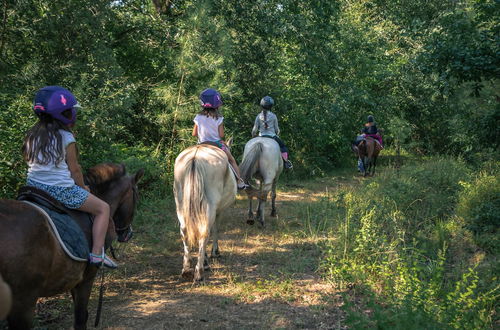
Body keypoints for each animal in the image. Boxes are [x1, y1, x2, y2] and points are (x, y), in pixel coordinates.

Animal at [174, 143, 236, 282]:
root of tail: (195, 157)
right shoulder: (218, 211)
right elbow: (215, 229)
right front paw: (215, 252)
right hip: (210, 206)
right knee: (204, 232)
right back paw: (200, 271)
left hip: (180, 204)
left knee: (185, 231)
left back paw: (186, 269)